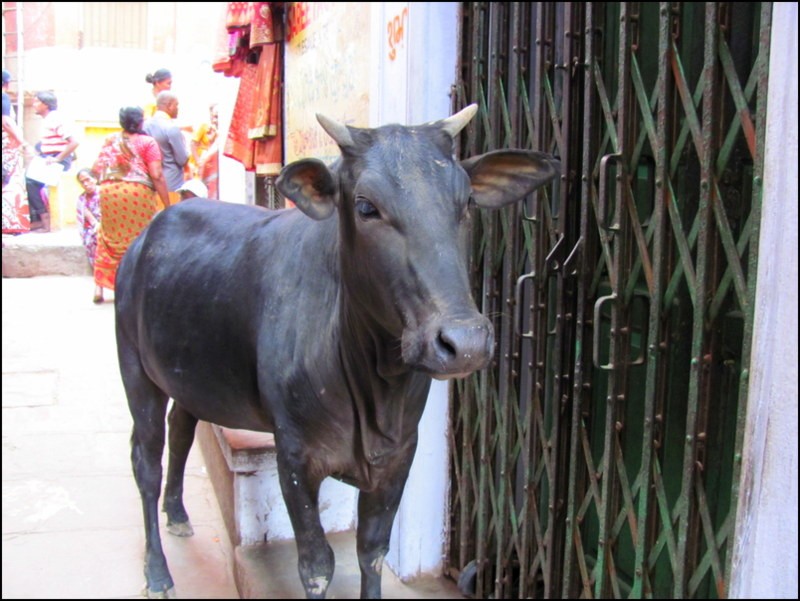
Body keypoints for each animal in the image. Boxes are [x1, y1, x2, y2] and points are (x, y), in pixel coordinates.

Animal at [115, 103, 560, 596]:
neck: (375, 387)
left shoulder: (399, 455)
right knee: (145, 461)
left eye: (465, 204)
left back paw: (176, 513)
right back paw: (157, 571)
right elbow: (316, 564)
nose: (464, 343)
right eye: (366, 206)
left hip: (187, 375)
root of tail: (144, 238)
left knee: (181, 429)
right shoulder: (294, 455)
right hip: (135, 371)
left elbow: (371, 551)